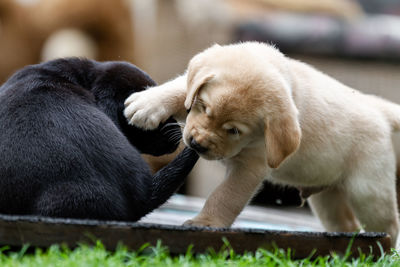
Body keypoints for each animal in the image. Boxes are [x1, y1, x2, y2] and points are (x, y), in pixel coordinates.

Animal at [125, 42, 400, 247]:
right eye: (203, 107)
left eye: (234, 131)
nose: (196, 144)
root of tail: (378, 108)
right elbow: (182, 87)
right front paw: (148, 104)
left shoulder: (249, 168)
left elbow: (224, 196)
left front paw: (206, 223)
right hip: (327, 197)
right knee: (346, 224)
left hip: (368, 192)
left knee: (389, 226)